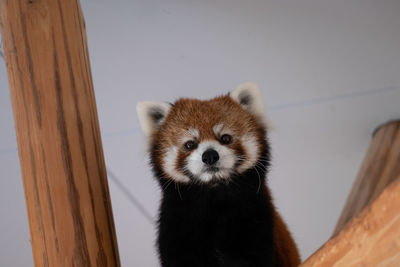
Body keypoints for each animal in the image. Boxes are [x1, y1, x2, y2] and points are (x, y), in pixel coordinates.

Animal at [137, 83, 300, 267]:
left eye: (225, 138)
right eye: (190, 144)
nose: (210, 156)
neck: (213, 197)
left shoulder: (255, 217)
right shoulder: (175, 225)